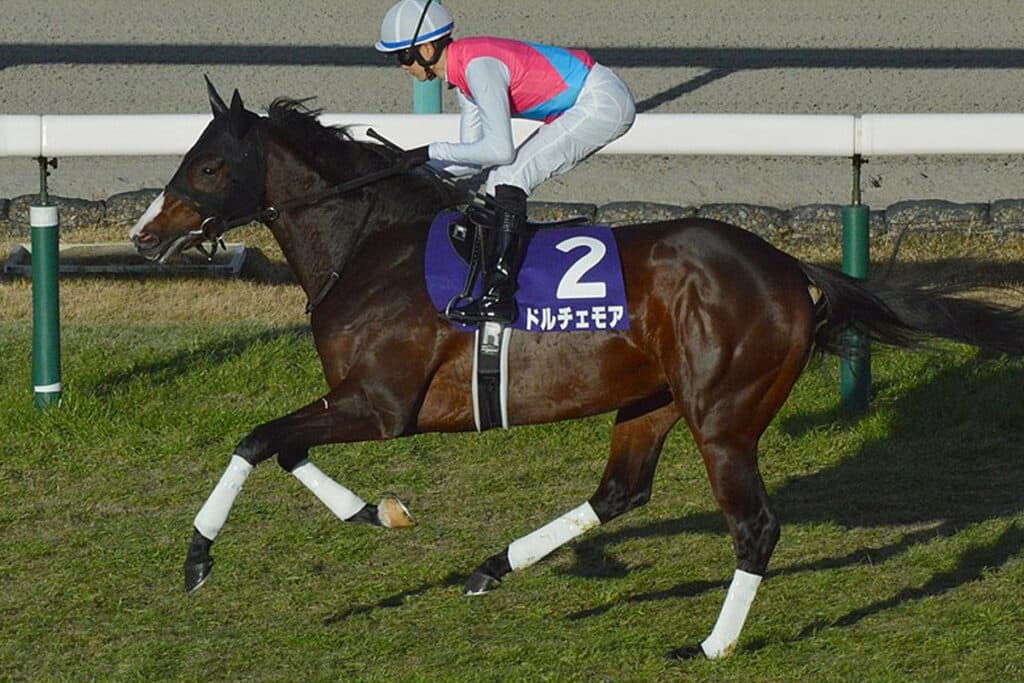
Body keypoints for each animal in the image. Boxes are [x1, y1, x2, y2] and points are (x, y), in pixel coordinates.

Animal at [129, 80, 1024, 661]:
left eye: (209, 166)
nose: (144, 233)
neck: (371, 245)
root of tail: (789, 270)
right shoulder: (363, 402)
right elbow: (283, 445)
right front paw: (378, 511)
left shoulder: (380, 403)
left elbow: (256, 440)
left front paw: (198, 558)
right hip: (653, 398)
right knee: (621, 491)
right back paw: (493, 567)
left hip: (723, 416)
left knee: (756, 528)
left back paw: (710, 645)